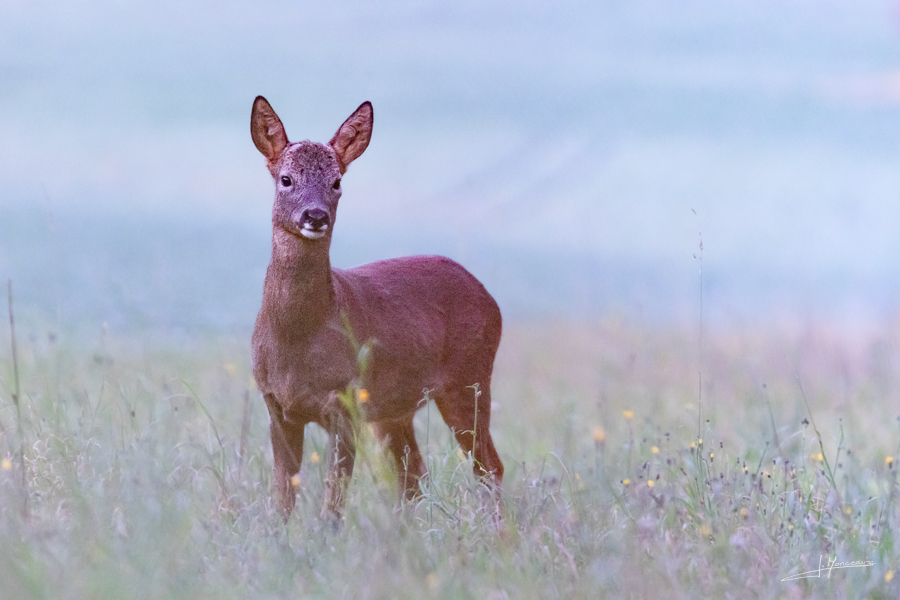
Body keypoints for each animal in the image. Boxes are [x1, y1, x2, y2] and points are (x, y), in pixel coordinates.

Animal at [251, 96, 506, 516]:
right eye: (286, 179)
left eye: (337, 181)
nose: (315, 216)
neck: (296, 337)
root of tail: (490, 297)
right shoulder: (276, 406)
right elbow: (281, 500)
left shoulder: (346, 403)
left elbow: (332, 505)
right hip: (396, 410)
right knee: (414, 478)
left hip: (468, 379)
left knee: (489, 467)